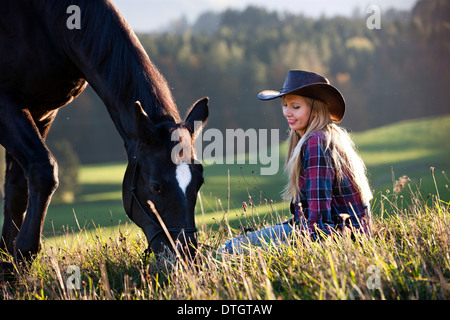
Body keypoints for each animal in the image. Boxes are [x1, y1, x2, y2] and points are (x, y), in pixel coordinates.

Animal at [0, 1, 207, 264]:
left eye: (199, 182)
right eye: (156, 186)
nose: (186, 255)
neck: (46, 23)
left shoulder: (43, 112)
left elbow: (18, 189)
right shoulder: (6, 103)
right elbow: (43, 171)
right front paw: (23, 252)